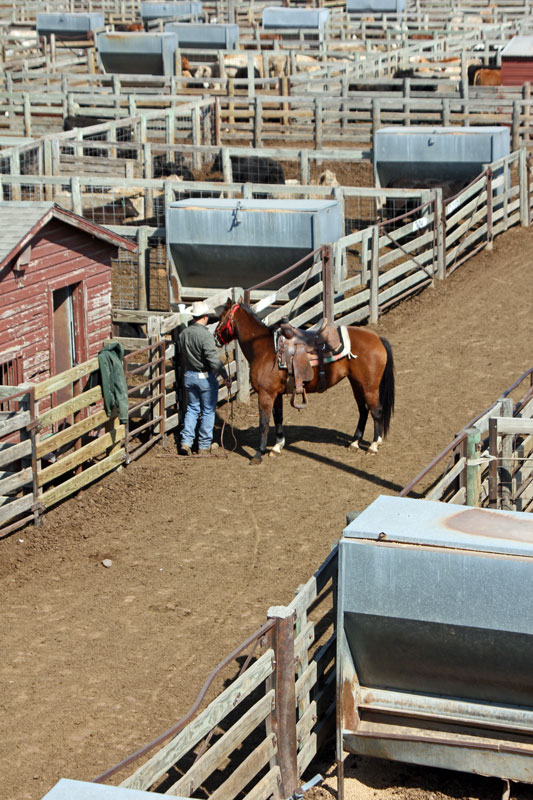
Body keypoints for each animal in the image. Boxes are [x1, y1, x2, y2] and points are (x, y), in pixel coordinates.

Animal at [214, 300, 392, 462]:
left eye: (222, 317)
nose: (215, 337)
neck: (264, 349)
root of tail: (377, 338)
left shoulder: (266, 394)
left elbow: (263, 424)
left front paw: (258, 454)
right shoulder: (276, 395)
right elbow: (278, 418)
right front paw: (277, 447)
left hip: (369, 387)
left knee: (376, 411)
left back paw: (373, 446)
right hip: (356, 383)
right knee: (363, 410)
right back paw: (354, 443)